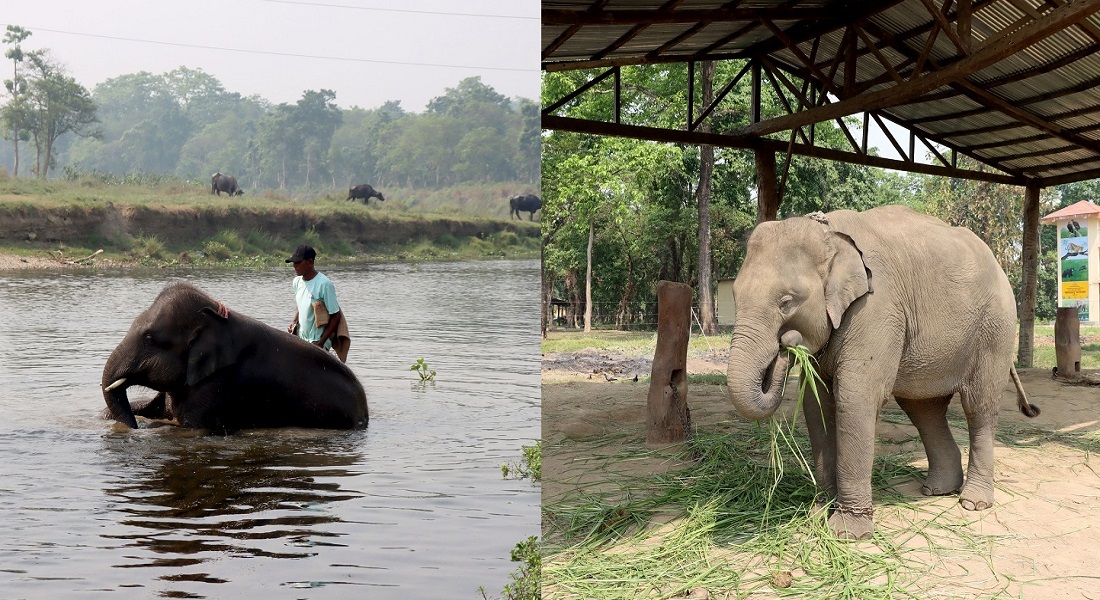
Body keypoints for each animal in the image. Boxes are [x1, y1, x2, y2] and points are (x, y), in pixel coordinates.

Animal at [726, 204, 1034, 537]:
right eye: (734, 295)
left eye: (787, 302)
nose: (787, 344)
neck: (830, 235)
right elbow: (816, 404)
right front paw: (818, 515)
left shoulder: (876, 309)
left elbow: (856, 399)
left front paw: (846, 533)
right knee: (924, 410)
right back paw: (937, 490)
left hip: (995, 330)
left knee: (979, 407)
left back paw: (973, 503)